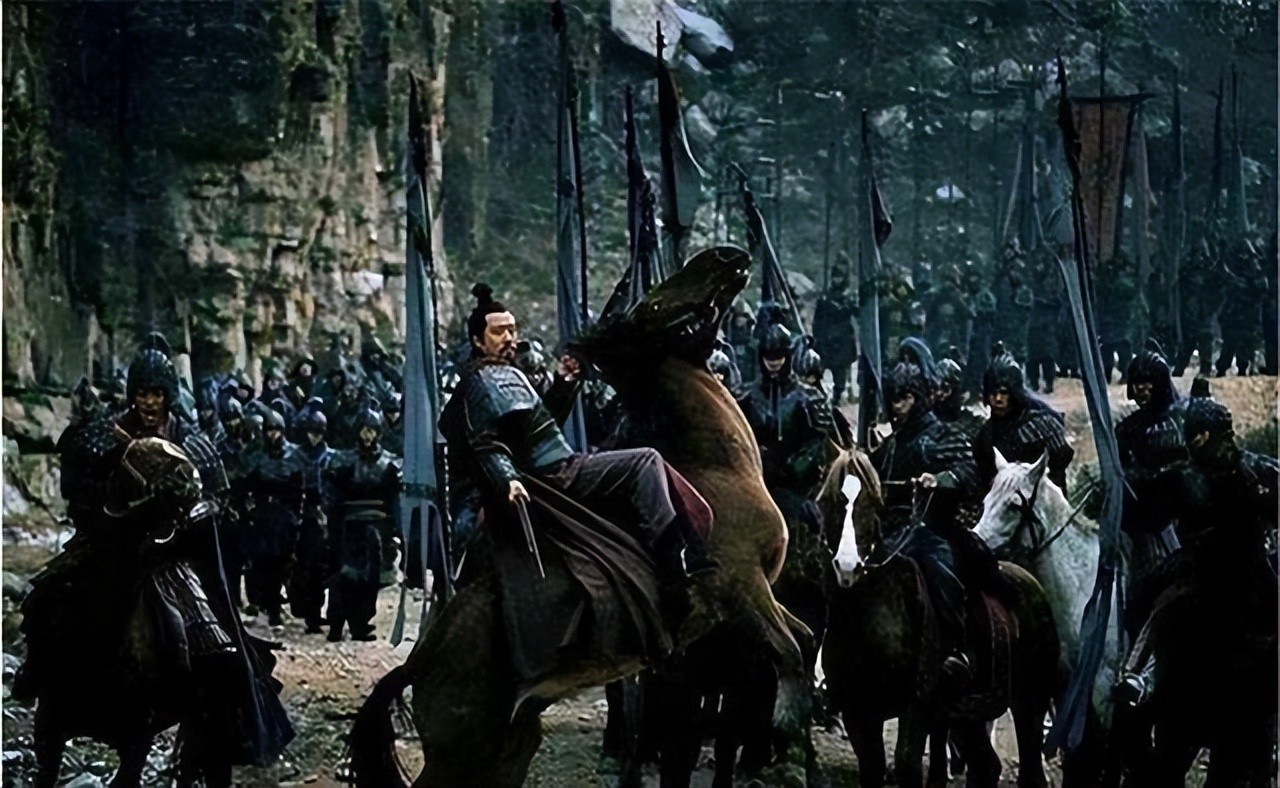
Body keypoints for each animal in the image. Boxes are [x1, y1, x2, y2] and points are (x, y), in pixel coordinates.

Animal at [348, 246, 810, 788]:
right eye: (653, 305)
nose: (723, 257)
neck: (721, 467)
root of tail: (419, 661)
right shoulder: (742, 588)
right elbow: (788, 648)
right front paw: (787, 725)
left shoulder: (757, 594)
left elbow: (802, 640)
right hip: (459, 752)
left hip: (509, 746)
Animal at [822, 447, 1060, 788]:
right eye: (831, 501)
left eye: (870, 503)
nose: (846, 567)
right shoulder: (858, 714)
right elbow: (873, 769)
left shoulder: (915, 708)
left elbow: (907, 765)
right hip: (967, 713)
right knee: (986, 765)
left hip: (1030, 701)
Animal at [972, 448, 1124, 786]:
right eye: (987, 501)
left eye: (1014, 506)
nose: (974, 544)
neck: (1083, 592)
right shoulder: (1063, 689)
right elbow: (1075, 756)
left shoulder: (1105, 693)